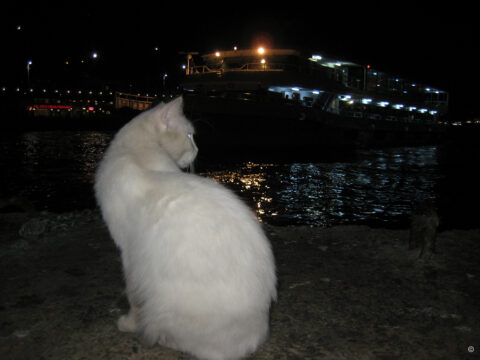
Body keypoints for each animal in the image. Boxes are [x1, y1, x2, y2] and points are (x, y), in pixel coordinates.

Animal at [93, 96, 276, 360]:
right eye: (190, 136)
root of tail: (254, 339)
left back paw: (163, 338)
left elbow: (133, 299)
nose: (198, 150)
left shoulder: (129, 254)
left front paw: (128, 324)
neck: (136, 153)